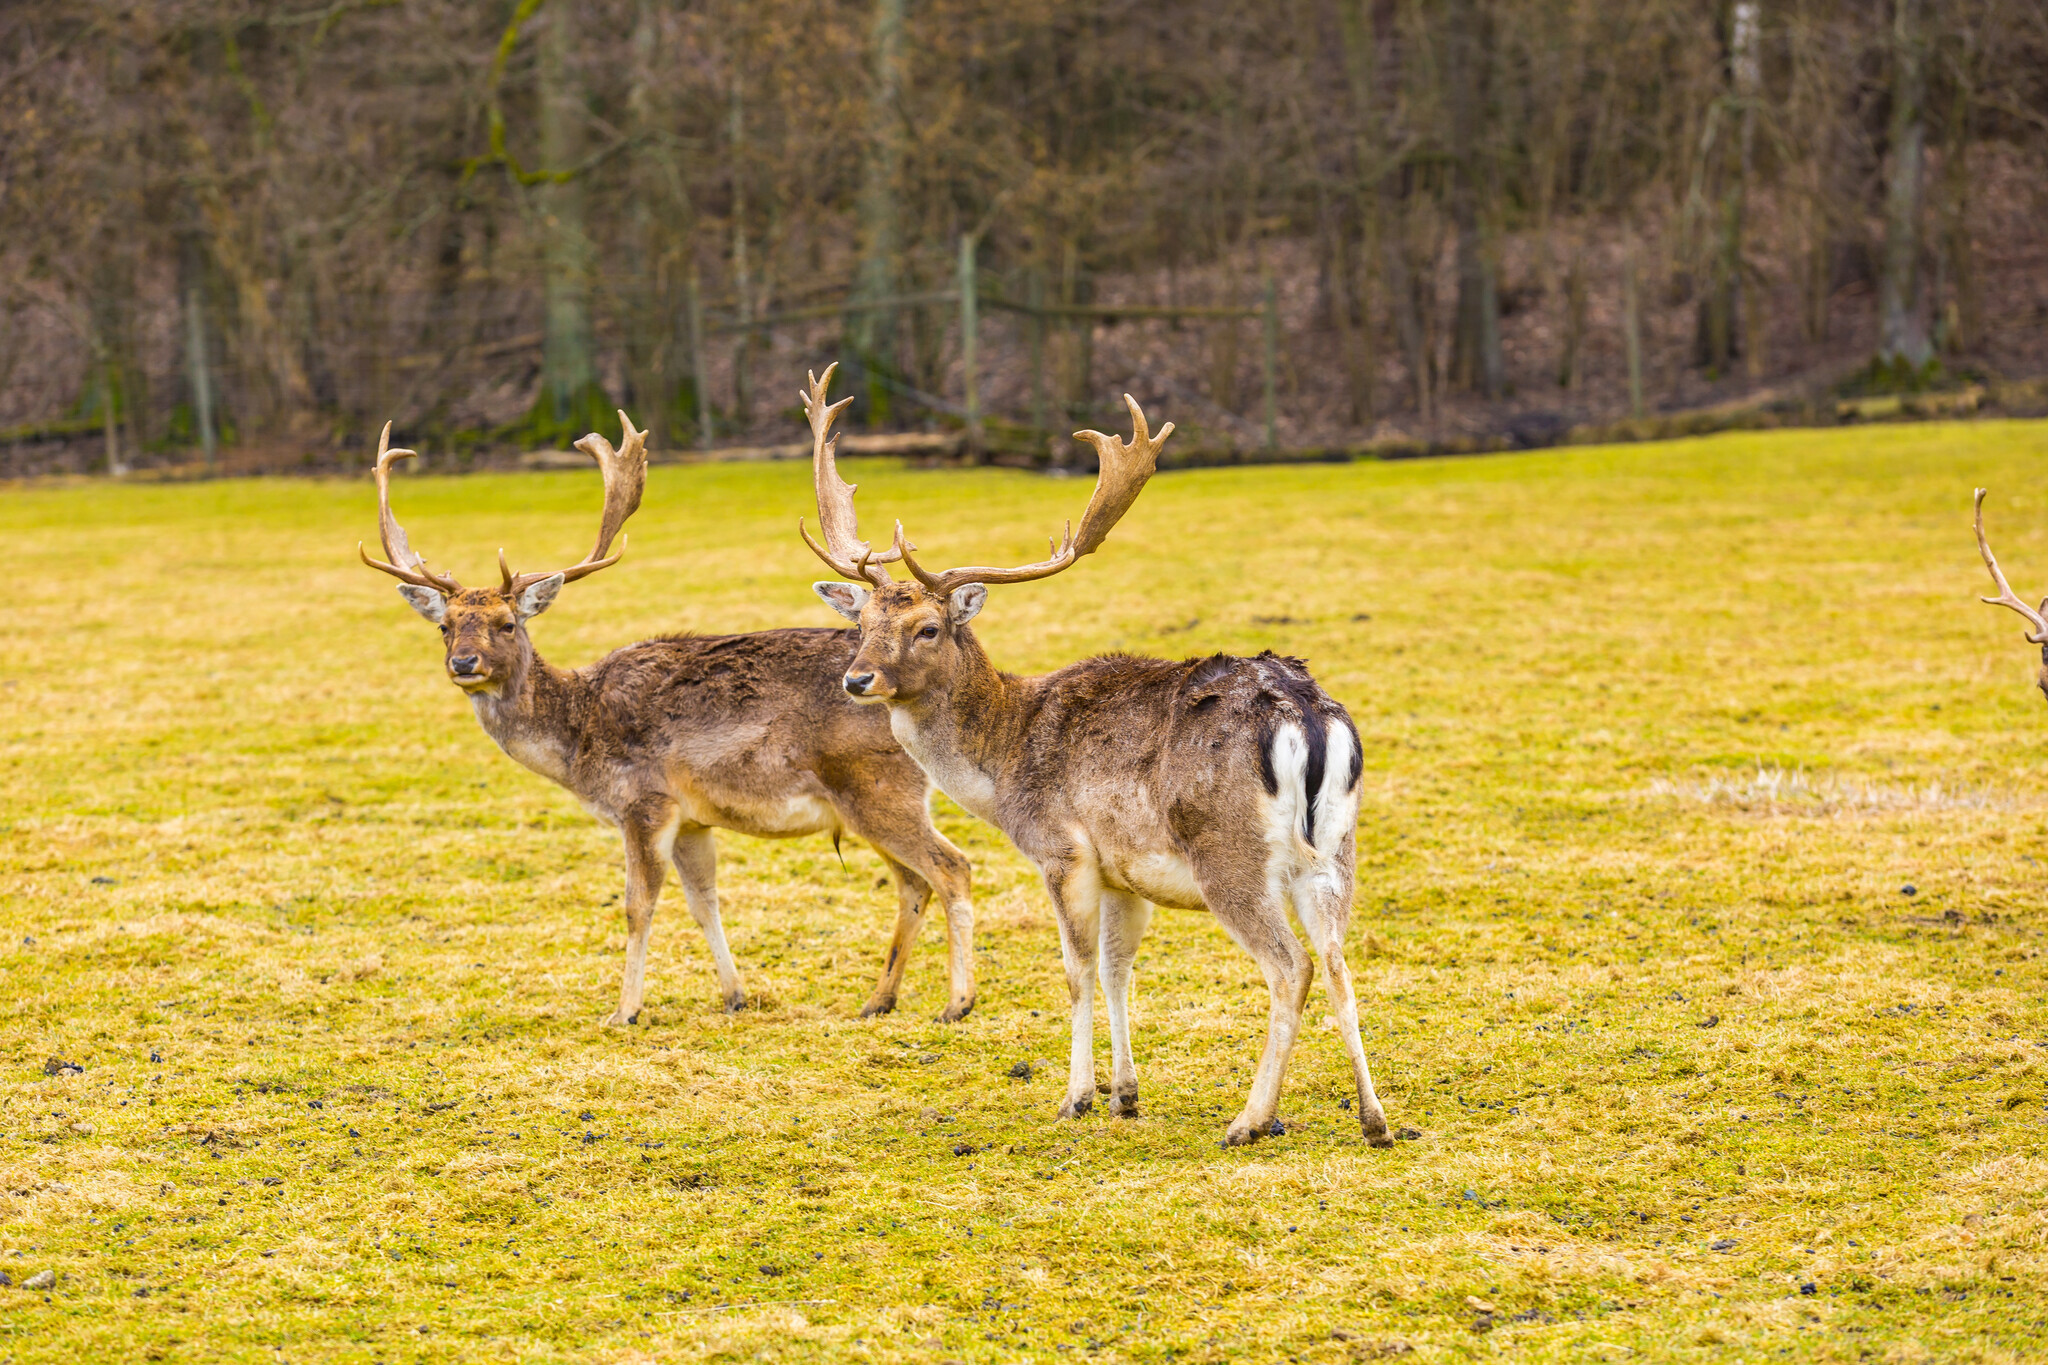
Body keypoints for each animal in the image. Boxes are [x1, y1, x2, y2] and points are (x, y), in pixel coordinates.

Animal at [360, 417, 983, 1023]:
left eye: (507, 623)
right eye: (445, 627)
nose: (464, 664)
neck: (578, 741)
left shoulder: (645, 801)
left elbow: (638, 905)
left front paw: (625, 1011)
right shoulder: (693, 820)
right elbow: (703, 900)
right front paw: (735, 996)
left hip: (877, 789)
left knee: (951, 867)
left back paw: (957, 1003)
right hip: (868, 804)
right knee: (913, 882)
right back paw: (879, 999)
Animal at [790, 368, 1400, 1146]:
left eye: (928, 627)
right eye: (862, 622)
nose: (857, 679)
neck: (1003, 761)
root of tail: (1306, 716)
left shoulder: (1063, 850)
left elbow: (1076, 971)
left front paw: (1075, 1097)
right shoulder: (1122, 873)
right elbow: (1118, 971)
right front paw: (1124, 1094)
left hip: (1229, 853)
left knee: (1290, 966)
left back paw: (1249, 1120)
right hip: (1335, 850)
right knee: (1338, 960)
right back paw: (1375, 1119)